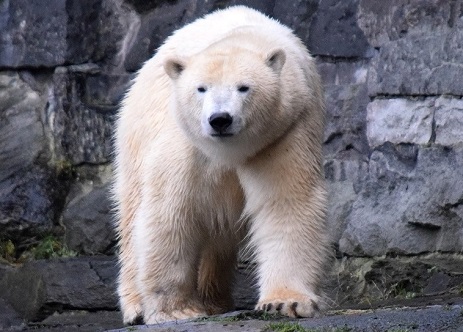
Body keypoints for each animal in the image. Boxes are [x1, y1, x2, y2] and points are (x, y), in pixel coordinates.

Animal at [113, 5, 330, 326]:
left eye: (244, 88)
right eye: (201, 89)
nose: (220, 119)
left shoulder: (285, 129)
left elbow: (286, 201)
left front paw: (285, 302)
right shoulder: (187, 139)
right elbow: (170, 209)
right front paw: (175, 310)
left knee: (219, 235)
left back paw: (214, 299)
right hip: (136, 135)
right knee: (131, 214)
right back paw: (136, 307)